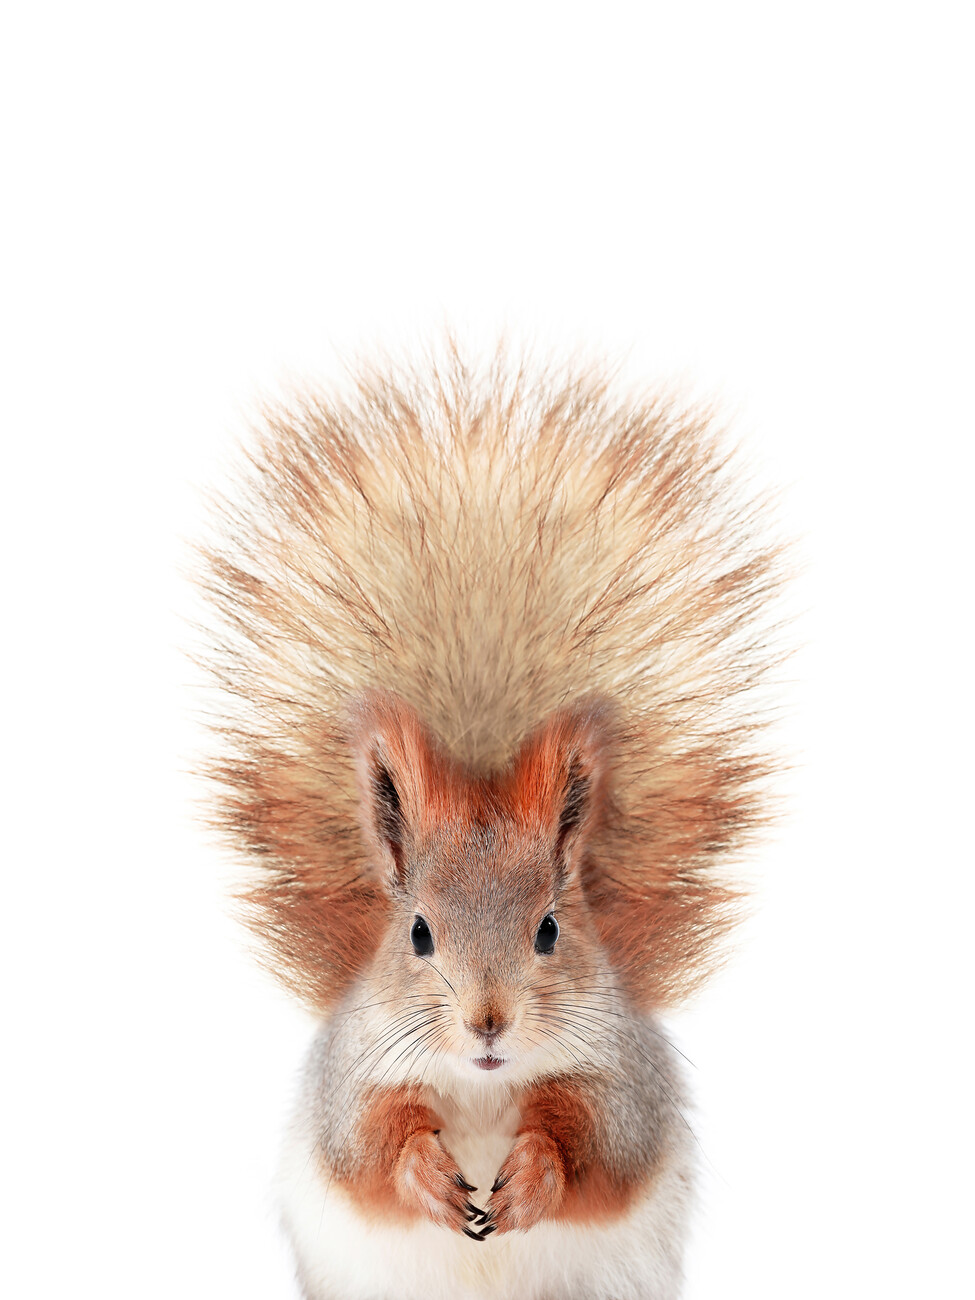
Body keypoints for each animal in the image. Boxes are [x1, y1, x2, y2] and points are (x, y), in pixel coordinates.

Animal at [198, 346, 783, 1300]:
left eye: (549, 930)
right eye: (417, 933)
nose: (487, 1021)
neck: (478, 1087)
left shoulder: (622, 1082)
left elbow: (598, 1149)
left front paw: (534, 1173)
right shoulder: (351, 1080)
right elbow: (367, 1149)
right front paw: (426, 1175)